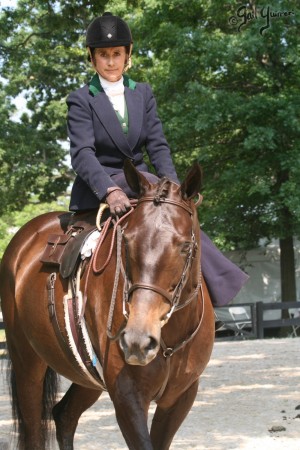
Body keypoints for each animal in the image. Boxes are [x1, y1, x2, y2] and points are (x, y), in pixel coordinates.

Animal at [0, 160, 216, 448]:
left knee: (64, 415)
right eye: (126, 241)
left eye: (185, 246)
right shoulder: (127, 397)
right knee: (34, 430)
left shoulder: (180, 398)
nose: (137, 340)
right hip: (27, 364)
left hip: (86, 373)